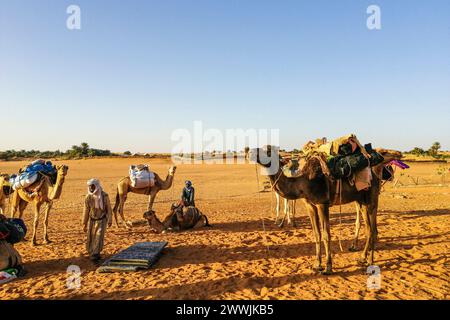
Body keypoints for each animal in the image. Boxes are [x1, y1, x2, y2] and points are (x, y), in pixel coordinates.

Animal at [251, 146, 402, 274]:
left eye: (268, 151)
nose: (250, 151)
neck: (303, 181)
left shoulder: (322, 203)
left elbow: (326, 235)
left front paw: (328, 267)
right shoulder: (310, 205)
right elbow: (316, 234)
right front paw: (317, 264)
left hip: (371, 199)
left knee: (373, 229)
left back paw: (370, 261)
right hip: (361, 201)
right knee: (368, 228)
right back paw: (362, 257)